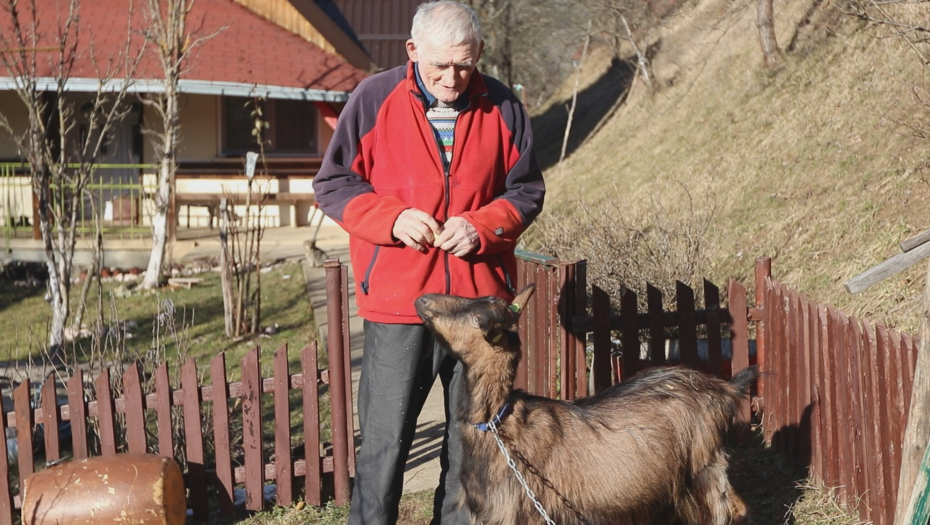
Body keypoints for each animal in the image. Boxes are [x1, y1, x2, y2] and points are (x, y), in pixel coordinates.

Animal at [416, 284, 752, 520]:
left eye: (476, 318)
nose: (423, 299)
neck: (499, 424)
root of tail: (722, 387)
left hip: (704, 470)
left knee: (734, 510)